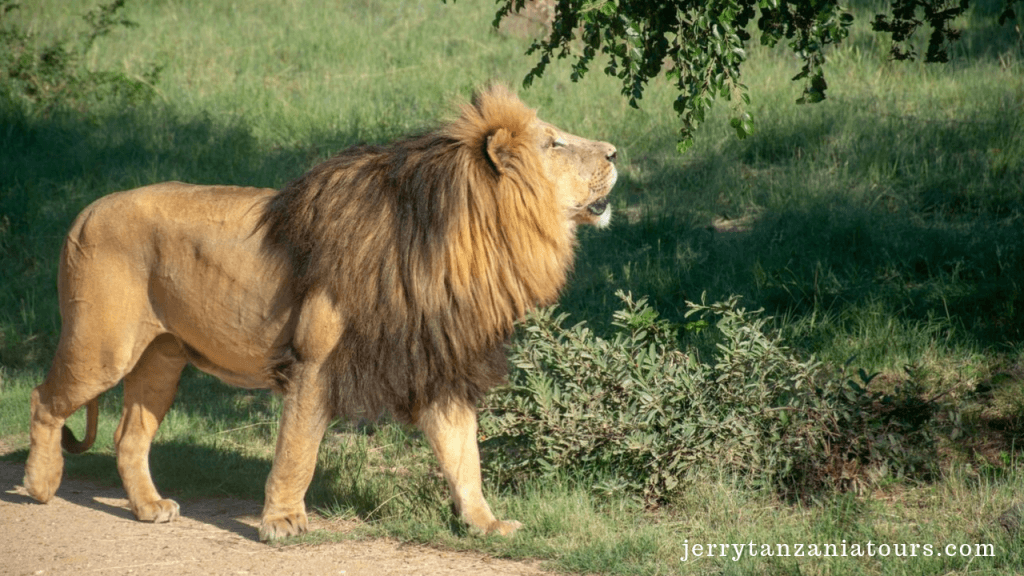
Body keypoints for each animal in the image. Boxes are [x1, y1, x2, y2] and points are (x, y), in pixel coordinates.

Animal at [22, 84, 614, 537]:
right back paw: (41, 485)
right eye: (556, 142)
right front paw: (282, 522)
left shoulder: (434, 367)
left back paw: (148, 508)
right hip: (103, 346)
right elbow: (298, 449)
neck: (466, 243)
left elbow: (464, 457)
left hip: (161, 357)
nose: (613, 152)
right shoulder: (314, 361)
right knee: (44, 399)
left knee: (128, 436)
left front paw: (486, 525)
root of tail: (87, 210)